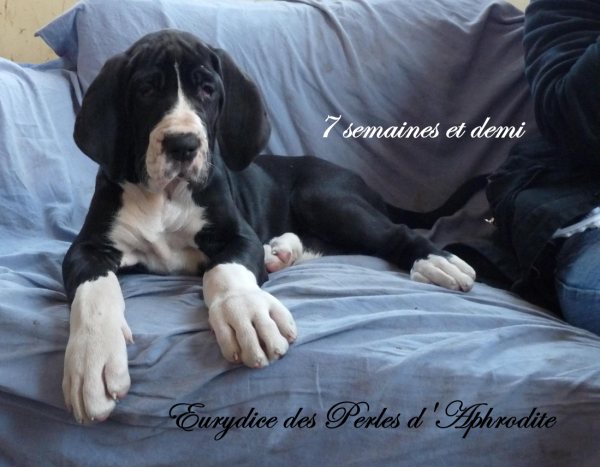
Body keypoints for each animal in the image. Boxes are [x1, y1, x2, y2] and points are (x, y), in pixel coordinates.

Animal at [62, 30, 476, 423]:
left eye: (208, 90)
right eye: (146, 90)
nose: (183, 145)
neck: (165, 197)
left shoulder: (237, 234)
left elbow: (224, 271)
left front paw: (245, 312)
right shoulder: (85, 249)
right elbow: (94, 290)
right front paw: (91, 357)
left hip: (322, 195)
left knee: (393, 233)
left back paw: (436, 262)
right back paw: (279, 251)